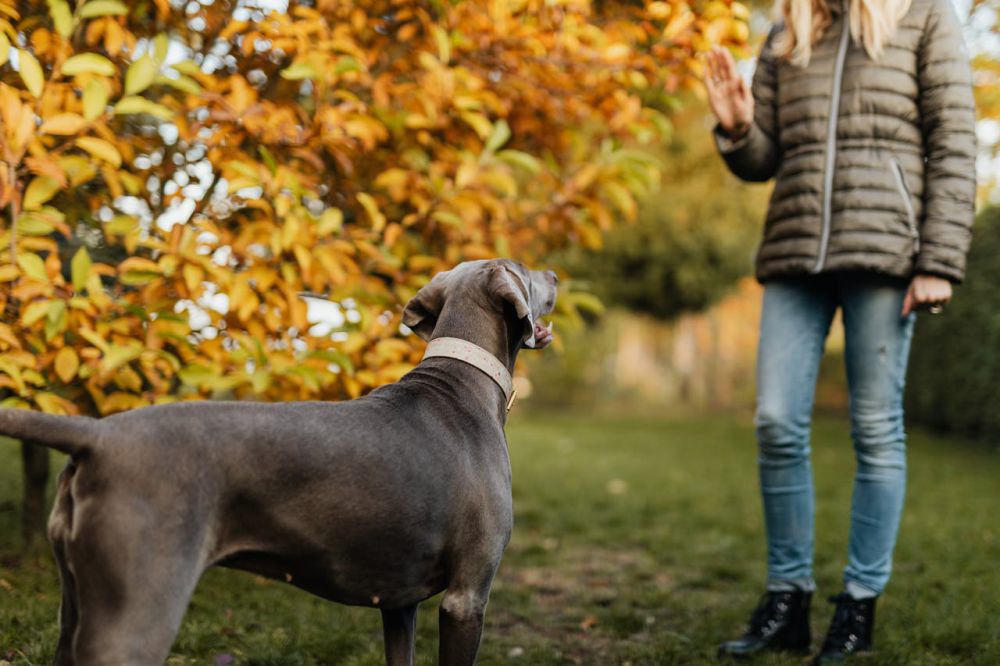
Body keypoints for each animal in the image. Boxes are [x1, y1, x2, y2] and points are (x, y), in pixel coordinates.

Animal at [0, 260, 556, 664]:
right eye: (522, 269)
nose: (554, 276)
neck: (460, 382)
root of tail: (97, 434)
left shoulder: (398, 603)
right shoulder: (466, 597)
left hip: (74, 607)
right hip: (137, 608)